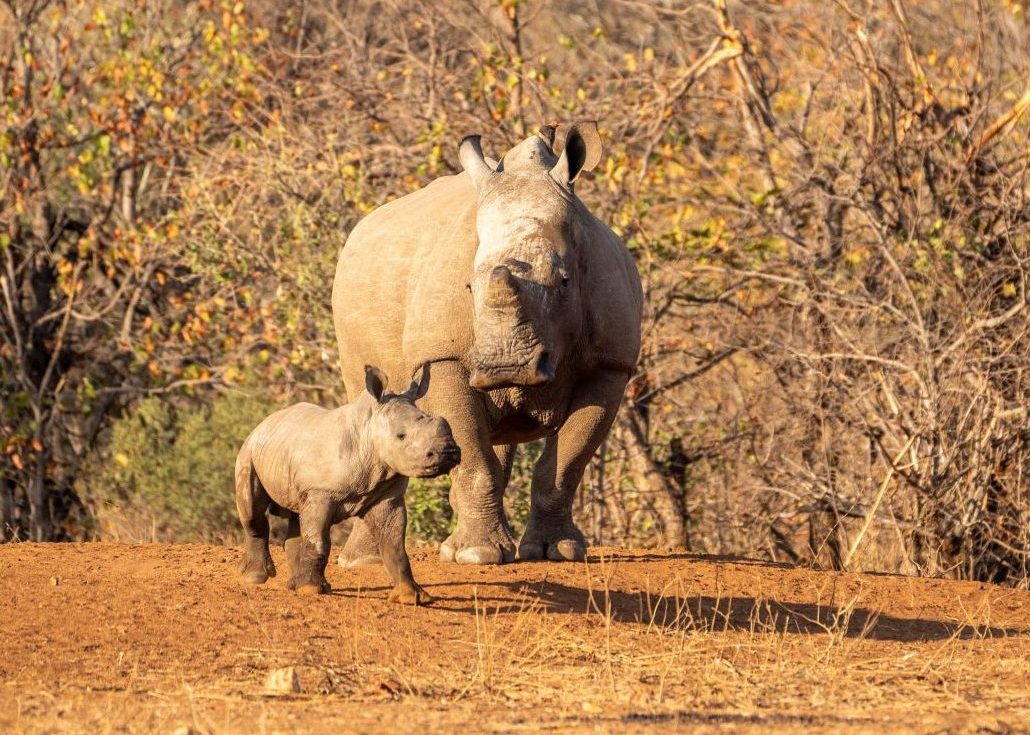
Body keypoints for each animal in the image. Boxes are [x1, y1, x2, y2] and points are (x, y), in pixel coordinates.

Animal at [235, 364, 461, 605]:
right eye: (401, 436)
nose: (448, 452)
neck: (369, 431)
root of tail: (264, 423)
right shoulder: (321, 492)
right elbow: (319, 540)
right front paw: (311, 590)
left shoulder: (386, 495)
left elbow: (394, 543)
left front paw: (411, 597)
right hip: (249, 450)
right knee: (252, 512)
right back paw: (255, 579)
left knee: (296, 513)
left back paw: (293, 585)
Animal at [333, 123, 638, 564]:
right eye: (468, 287)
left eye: (565, 282)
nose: (505, 367)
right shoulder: (443, 357)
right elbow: (475, 458)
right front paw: (476, 556)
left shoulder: (610, 365)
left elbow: (565, 464)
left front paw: (559, 552)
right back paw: (363, 561)